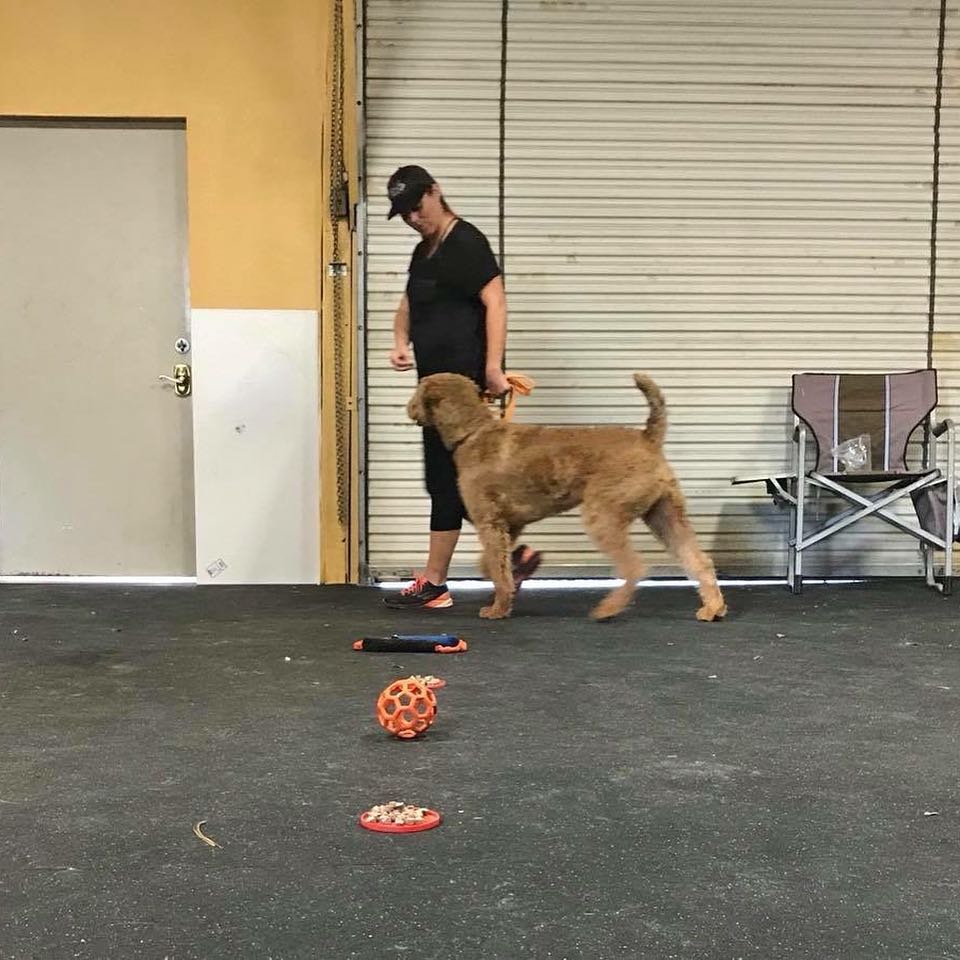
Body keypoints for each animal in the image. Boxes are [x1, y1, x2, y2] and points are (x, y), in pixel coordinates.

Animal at [404, 368, 728, 624]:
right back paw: (713, 608)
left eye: (418, 390)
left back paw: (607, 610)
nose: (409, 409)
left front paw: (497, 609)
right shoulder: (509, 524)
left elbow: (498, 567)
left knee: (634, 566)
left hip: (605, 513)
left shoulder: (489, 522)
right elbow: (495, 564)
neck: (471, 433)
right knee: (698, 560)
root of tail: (648, 439)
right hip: (665, 514)